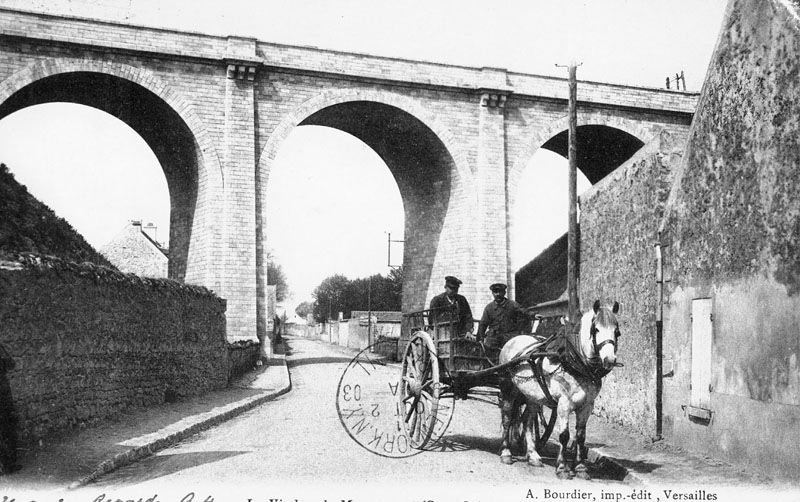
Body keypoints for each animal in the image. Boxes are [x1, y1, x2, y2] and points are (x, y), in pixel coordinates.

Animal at [496, 300, 620, 480]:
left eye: (617, 332)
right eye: (595, 329)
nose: (609, 360)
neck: (575, 362)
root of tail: (514, 339)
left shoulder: (587, 405)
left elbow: (580, 436)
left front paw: (580, 467)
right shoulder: (564, 403)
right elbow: (564, 435)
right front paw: (562, 467)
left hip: (532, 396)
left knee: (527, 421)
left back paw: (533, 456)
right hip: (508, 388)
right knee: (507, 417)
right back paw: (506, 453)